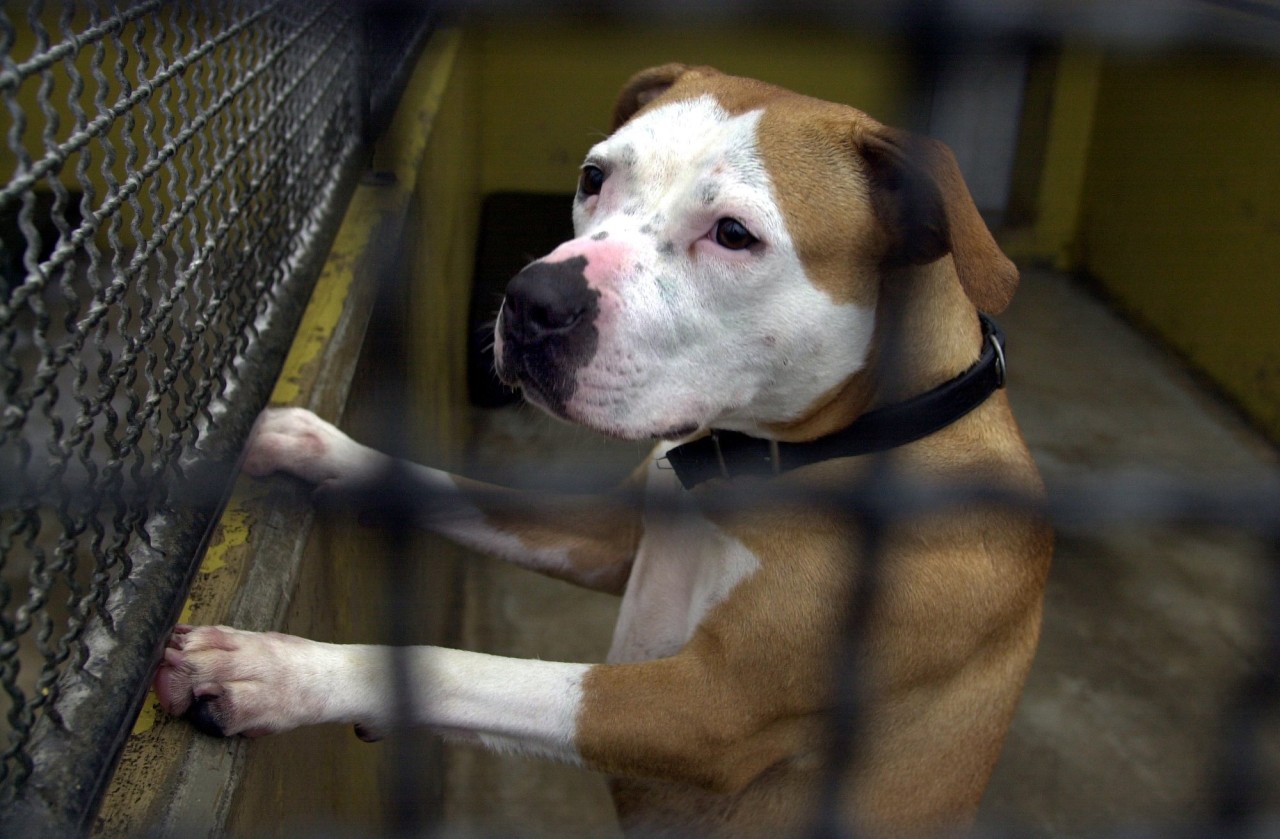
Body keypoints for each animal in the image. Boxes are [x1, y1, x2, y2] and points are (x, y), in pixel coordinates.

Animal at [154, 67, 1049, 839]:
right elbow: (445, 486)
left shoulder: (704, 710)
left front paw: (280, 671)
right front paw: (309, 442)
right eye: (593, 177)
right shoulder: (603, 538)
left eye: (733, 234)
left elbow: (471, 669)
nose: (531, 301)